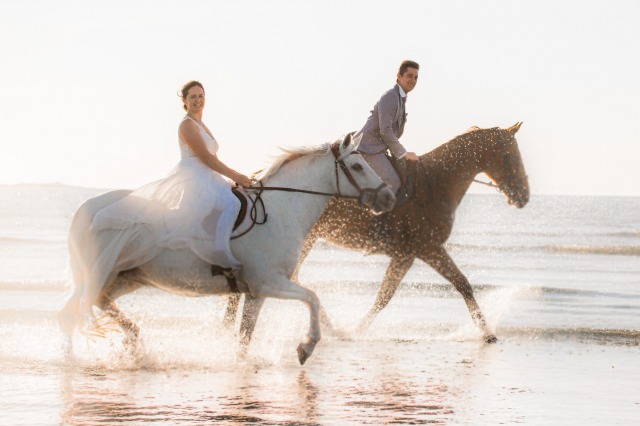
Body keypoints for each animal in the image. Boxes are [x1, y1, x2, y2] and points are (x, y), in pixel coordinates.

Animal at [60, 135, 396, 364]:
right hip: (104, 272)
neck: (282, 209)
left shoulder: (256, 292)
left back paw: (132, 340)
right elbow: (312, 298)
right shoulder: (268, 282)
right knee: (74, 309)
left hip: (125, 276)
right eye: (357, 166)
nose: (389, 198)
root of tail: (87, 208)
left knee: (97, 303)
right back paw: (76, 358)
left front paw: (244, 365)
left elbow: (246, 335)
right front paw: (306, 347)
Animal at [228, 121, 528, 342]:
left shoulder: (406, 255)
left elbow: (384, 296)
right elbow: (462, 284)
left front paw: (355, 330)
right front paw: (488, 334)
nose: (523, 196)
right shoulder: (428, 249)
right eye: (509, 155)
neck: (435, 182)